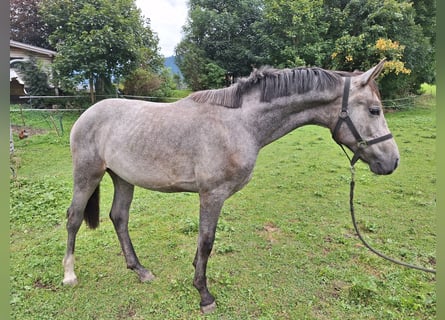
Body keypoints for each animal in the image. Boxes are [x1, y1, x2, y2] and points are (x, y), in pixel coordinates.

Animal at [62, 60, 398, 312]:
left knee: (119, 218)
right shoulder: (212, 194)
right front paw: (204, 295)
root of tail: (87, 114)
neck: (239, 123)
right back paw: (69, 274)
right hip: (87, 174)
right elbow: (207, 242)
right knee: (74, 219)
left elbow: (202, 244)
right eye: (374, 110)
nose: (392, 161)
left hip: (123, 178)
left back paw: (140, 270)